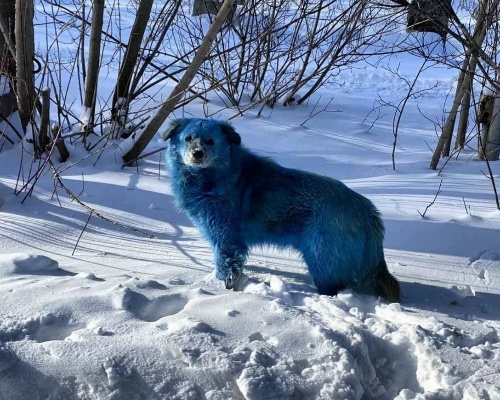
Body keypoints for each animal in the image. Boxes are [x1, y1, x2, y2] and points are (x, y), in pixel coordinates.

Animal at [162, 117, 400, 302]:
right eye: (188, 138)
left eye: (210, 141)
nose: (198, 154)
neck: (216, 175)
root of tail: (369, 212)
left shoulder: (226, 237)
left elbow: (226, 266)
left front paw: (221, 290)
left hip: (322, 260)